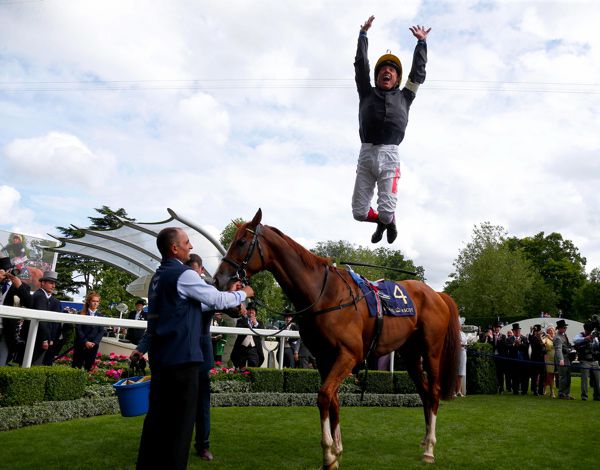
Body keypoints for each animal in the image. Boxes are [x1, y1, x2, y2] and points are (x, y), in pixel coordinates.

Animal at [213, 209, 462, 466]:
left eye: (241, 242)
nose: (218, 280)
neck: (324, 295)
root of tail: (437, 294)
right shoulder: (324, 357)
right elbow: (333, 400)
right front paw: (336, 450)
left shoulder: (348, 355)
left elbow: (324, 396)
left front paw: (328, 452)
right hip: (411, 355)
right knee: (424, 392)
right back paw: (424, 440)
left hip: (431, 351)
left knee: (433, 392)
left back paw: (430, 448)